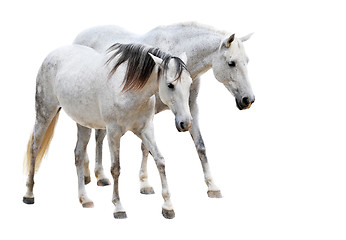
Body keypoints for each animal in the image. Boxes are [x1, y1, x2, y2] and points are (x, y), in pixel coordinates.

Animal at [23, 43, 193, 219]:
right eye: (170, 85)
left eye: (189, 84)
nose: (185, 123)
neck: (128, 89)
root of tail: (52, 54)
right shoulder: (113, 133)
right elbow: (115, 168)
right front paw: (118, 207)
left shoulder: (145, 129)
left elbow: (160, 160)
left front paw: (168, 207)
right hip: (44, 113)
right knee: (35, 148)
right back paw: (29, 194)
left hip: (83, 123)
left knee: (78, 154)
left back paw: (84, 199)